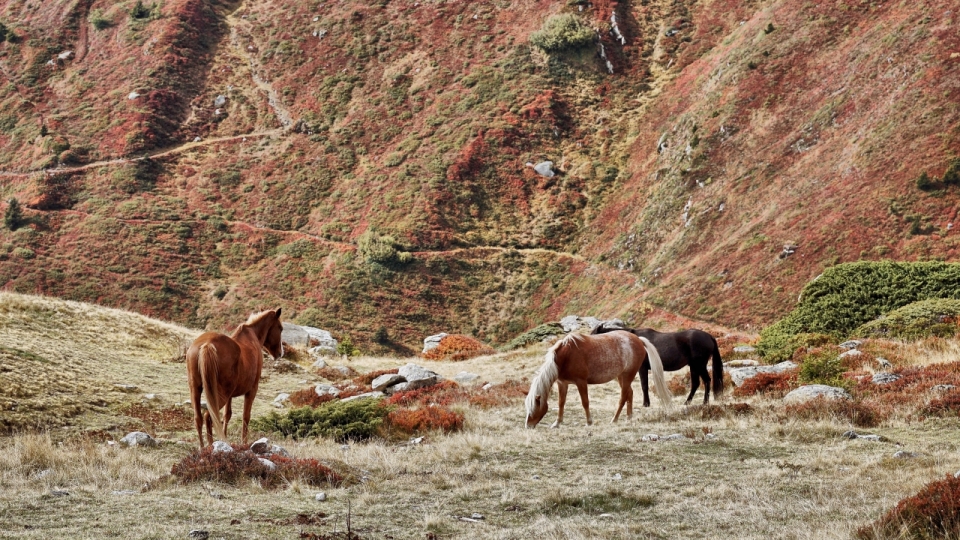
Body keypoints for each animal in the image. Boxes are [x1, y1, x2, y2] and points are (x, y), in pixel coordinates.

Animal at [184, 308, 282, 448]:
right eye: (280, 328)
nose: (280, 353)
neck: (252, 335)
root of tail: (207, 344)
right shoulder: (252, 390)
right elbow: (246, 416)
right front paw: (244, 443)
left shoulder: (230, 396)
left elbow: (227, 415)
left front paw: (226, 439)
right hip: (219, 394)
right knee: (209, 415)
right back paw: (211, 446)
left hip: (196, 389)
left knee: (198, 418)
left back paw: (203, 448)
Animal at [524, 330, 676, 430]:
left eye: (534, 407)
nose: (528, 426)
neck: (566, 356)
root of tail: (638, 339)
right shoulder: (563, 383)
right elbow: (561, 403)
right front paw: (557, 423)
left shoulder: (581, 382)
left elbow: (585, 402)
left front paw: (589, 422)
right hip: (621, 376)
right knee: (630, 393)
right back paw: (628, 418)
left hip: (628, 375)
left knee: (623, 397)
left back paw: (614, 419)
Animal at [588, 320, 724, 404]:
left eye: (593, 334)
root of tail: (709, 336)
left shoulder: (642, 368)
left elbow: (644, 385)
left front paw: (646, 404)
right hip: (694, 366)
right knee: (696, 384)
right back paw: (687, 402)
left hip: (699, 365)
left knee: (706, 381)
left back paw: (705, 402)